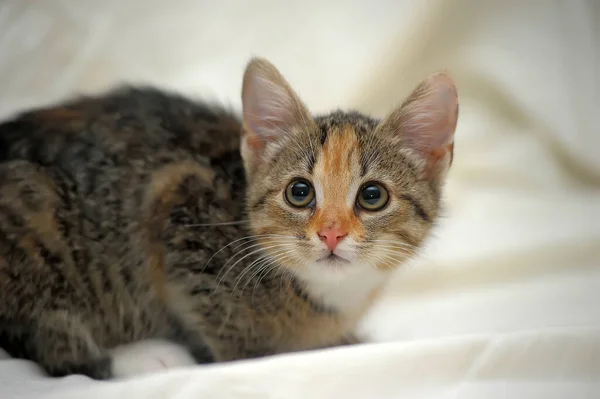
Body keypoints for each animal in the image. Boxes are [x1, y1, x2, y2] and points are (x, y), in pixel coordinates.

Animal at [0, 57, 458, 380]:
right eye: (299, 192)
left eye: (372, 196)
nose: (331, 233)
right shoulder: (178, 203)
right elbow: (223, 326)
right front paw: (249, 357)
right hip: (32, 208)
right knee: (44, 339)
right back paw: (144, 357)